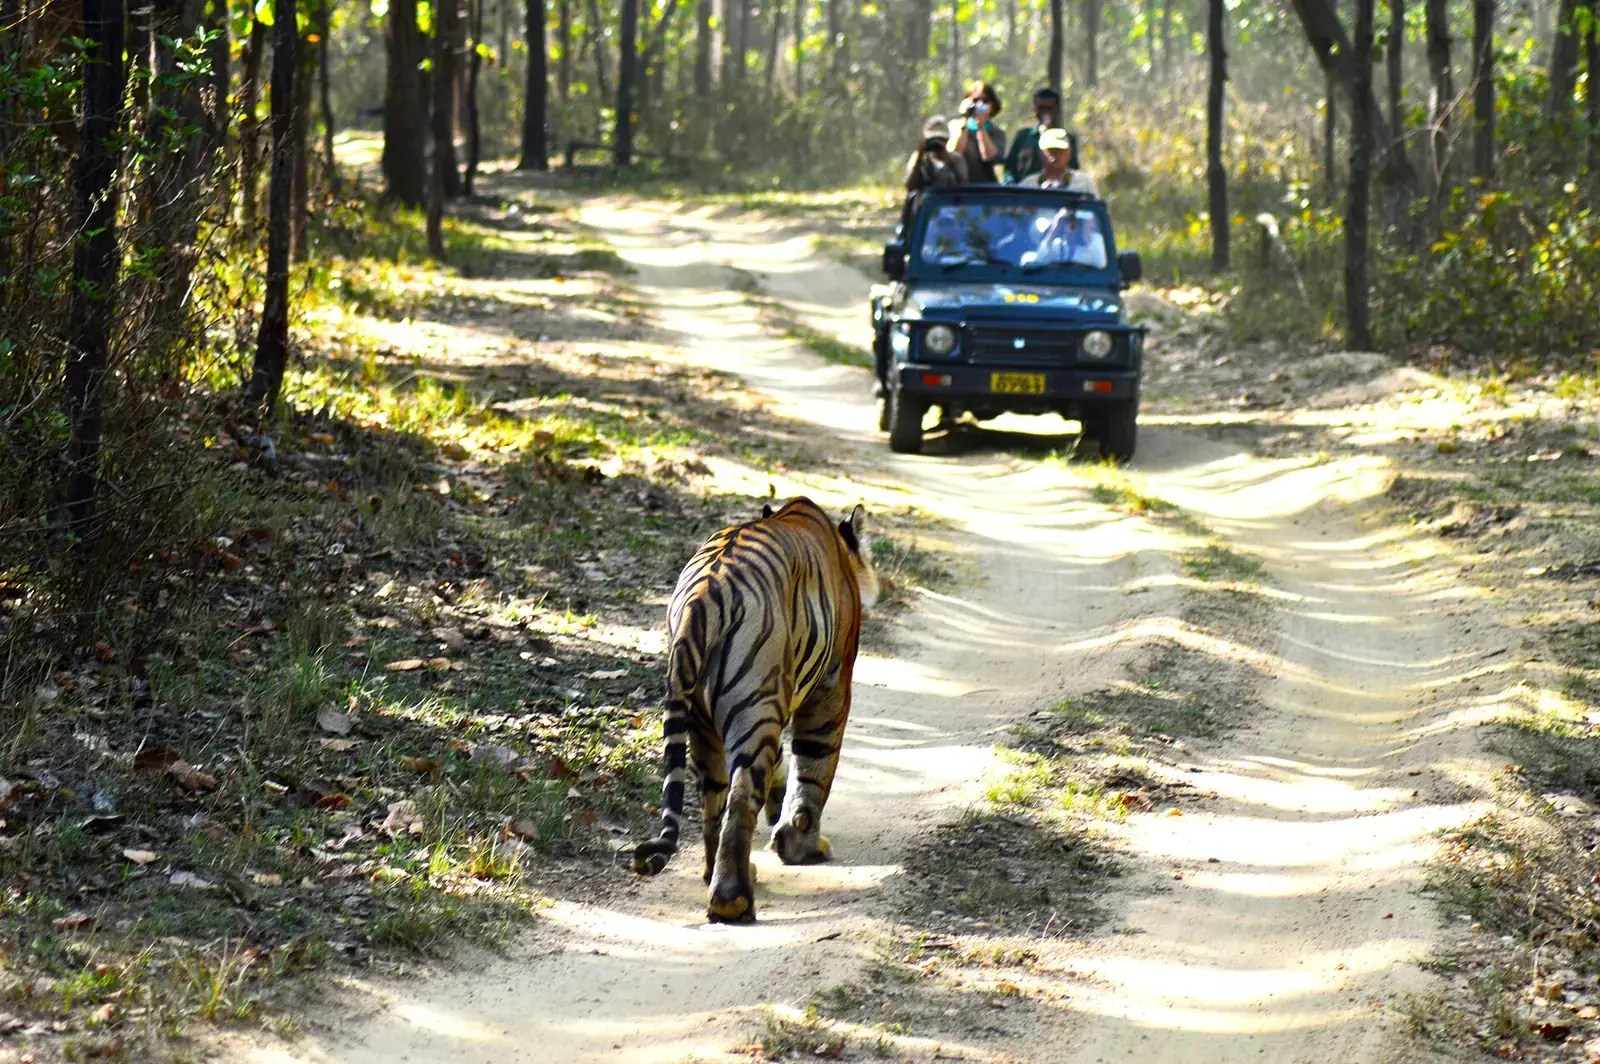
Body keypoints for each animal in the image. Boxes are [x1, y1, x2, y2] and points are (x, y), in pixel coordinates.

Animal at [632, 497, 880, 923]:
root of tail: (701, 598)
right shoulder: (832, 685)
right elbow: (814, 768)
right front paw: (801, 844)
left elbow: (784, 763)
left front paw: (779, 813)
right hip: (754, 707)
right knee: (740, 797)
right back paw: (733, 900)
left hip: (707, 719)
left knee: (713, 799)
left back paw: (719, 875)